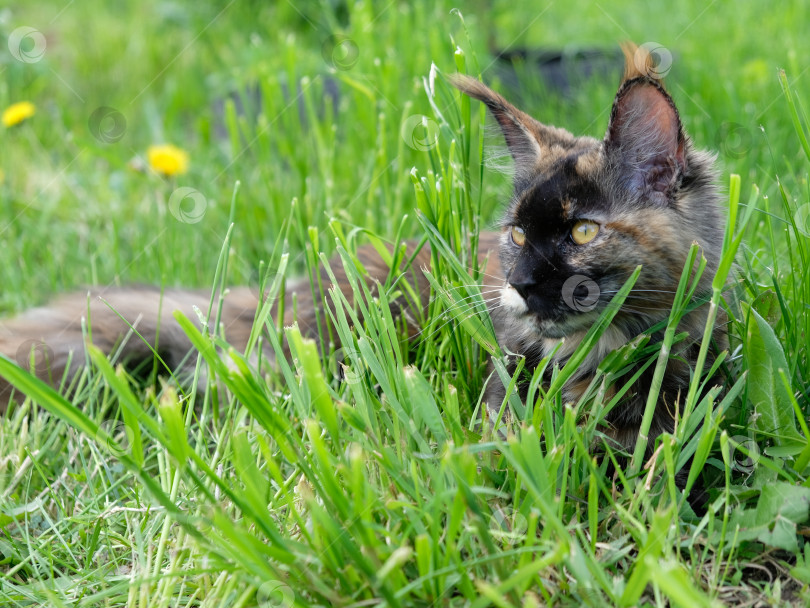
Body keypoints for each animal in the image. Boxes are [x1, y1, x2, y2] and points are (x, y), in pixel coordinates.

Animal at [0, 44, 720, 460]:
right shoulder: (502, 412)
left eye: (582, 232)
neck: (599, 356)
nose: (516, 285)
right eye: (516, 235)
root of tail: (278, 296)